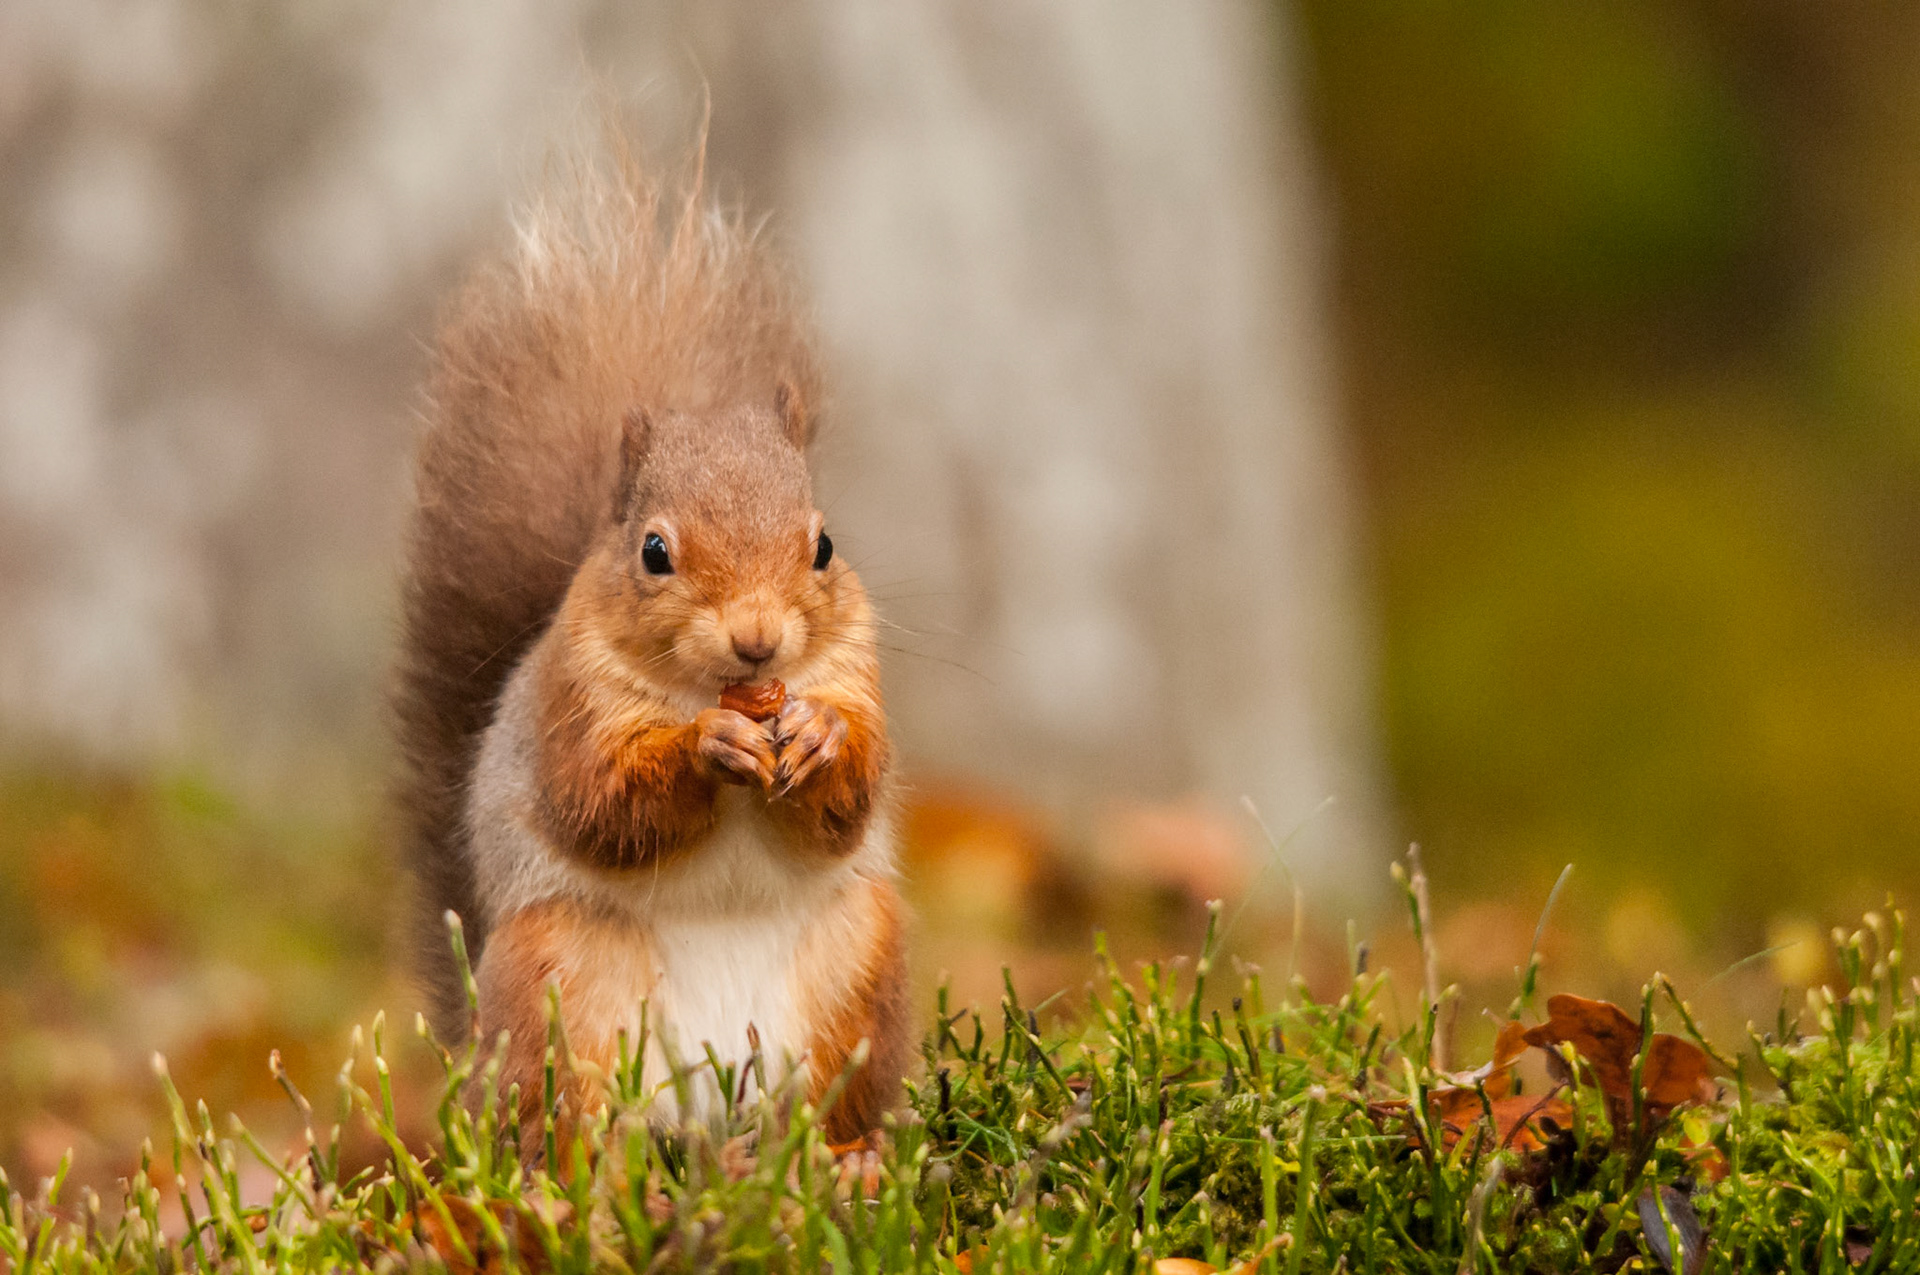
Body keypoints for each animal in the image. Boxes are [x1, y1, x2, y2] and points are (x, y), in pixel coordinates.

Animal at [392, 143, 909, 1147]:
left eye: (824, 545)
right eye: (654, 551)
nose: (757, 636)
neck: (714, 686)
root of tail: (712, 1106)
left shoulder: (855, 671)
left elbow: (852, 801)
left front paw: (821, 738)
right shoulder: (570, 705)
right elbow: (603, 802)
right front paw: (710, 747)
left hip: (856, 964)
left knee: (827, 1105)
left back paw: (846, 1156)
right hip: (563, 975)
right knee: (566, 1118)